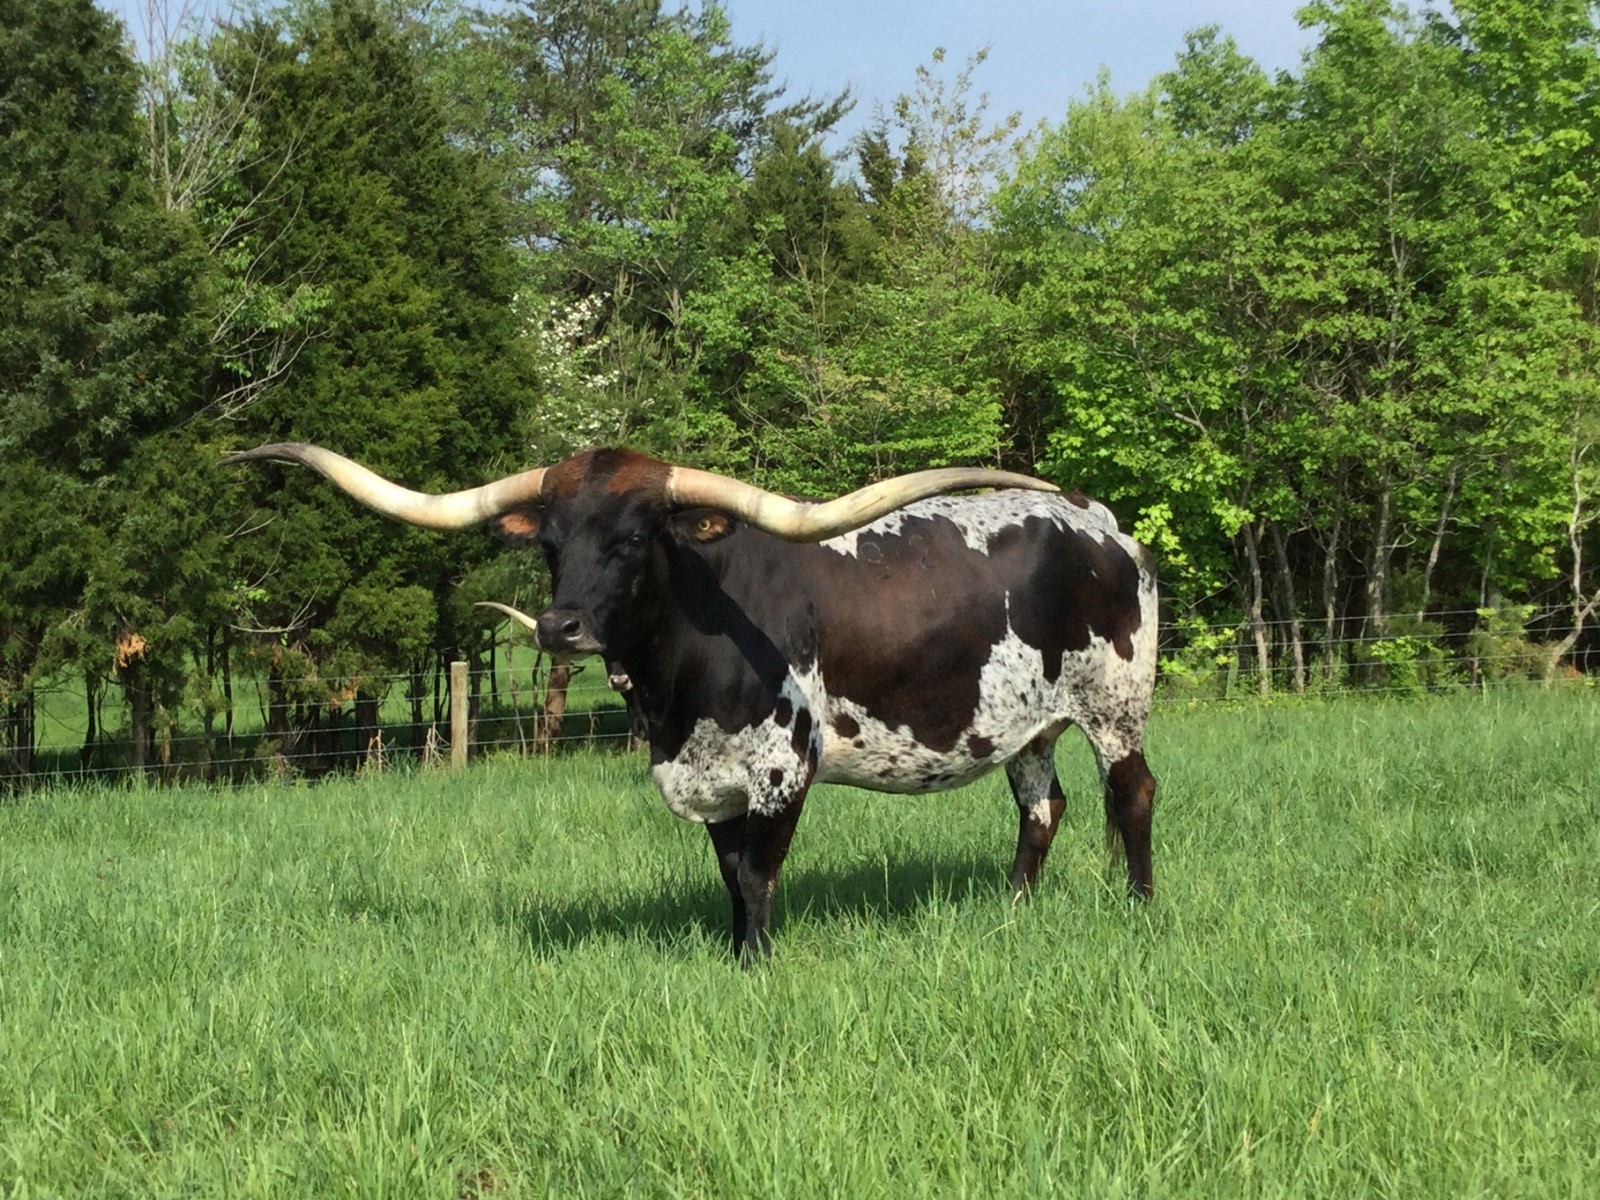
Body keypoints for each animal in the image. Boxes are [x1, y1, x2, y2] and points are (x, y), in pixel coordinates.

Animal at [226, 443, 1159, 960]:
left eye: (636, 537)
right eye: (550, 545)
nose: (560, 626)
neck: (675, 697)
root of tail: (1101, 521)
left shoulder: (783, 767)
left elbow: (758, 872)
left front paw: (757, 963)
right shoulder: (709, 778)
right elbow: (728, 873)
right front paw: (733, 951)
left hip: (1115, 705)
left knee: (1132, 795)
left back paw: (1141, 910)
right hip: (1028, 725)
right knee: (1043, 807)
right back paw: (1013, 911)